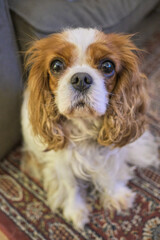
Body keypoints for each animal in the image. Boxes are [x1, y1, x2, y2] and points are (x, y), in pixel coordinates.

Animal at [21, 28, 159, 229]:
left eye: (108, 66)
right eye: (56, 66)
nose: (81, 78)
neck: (84, 125)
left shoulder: (108, 154)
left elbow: (109, 174)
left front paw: (115, 196)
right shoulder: (61, 161)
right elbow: (70, 185)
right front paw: (75, 210)